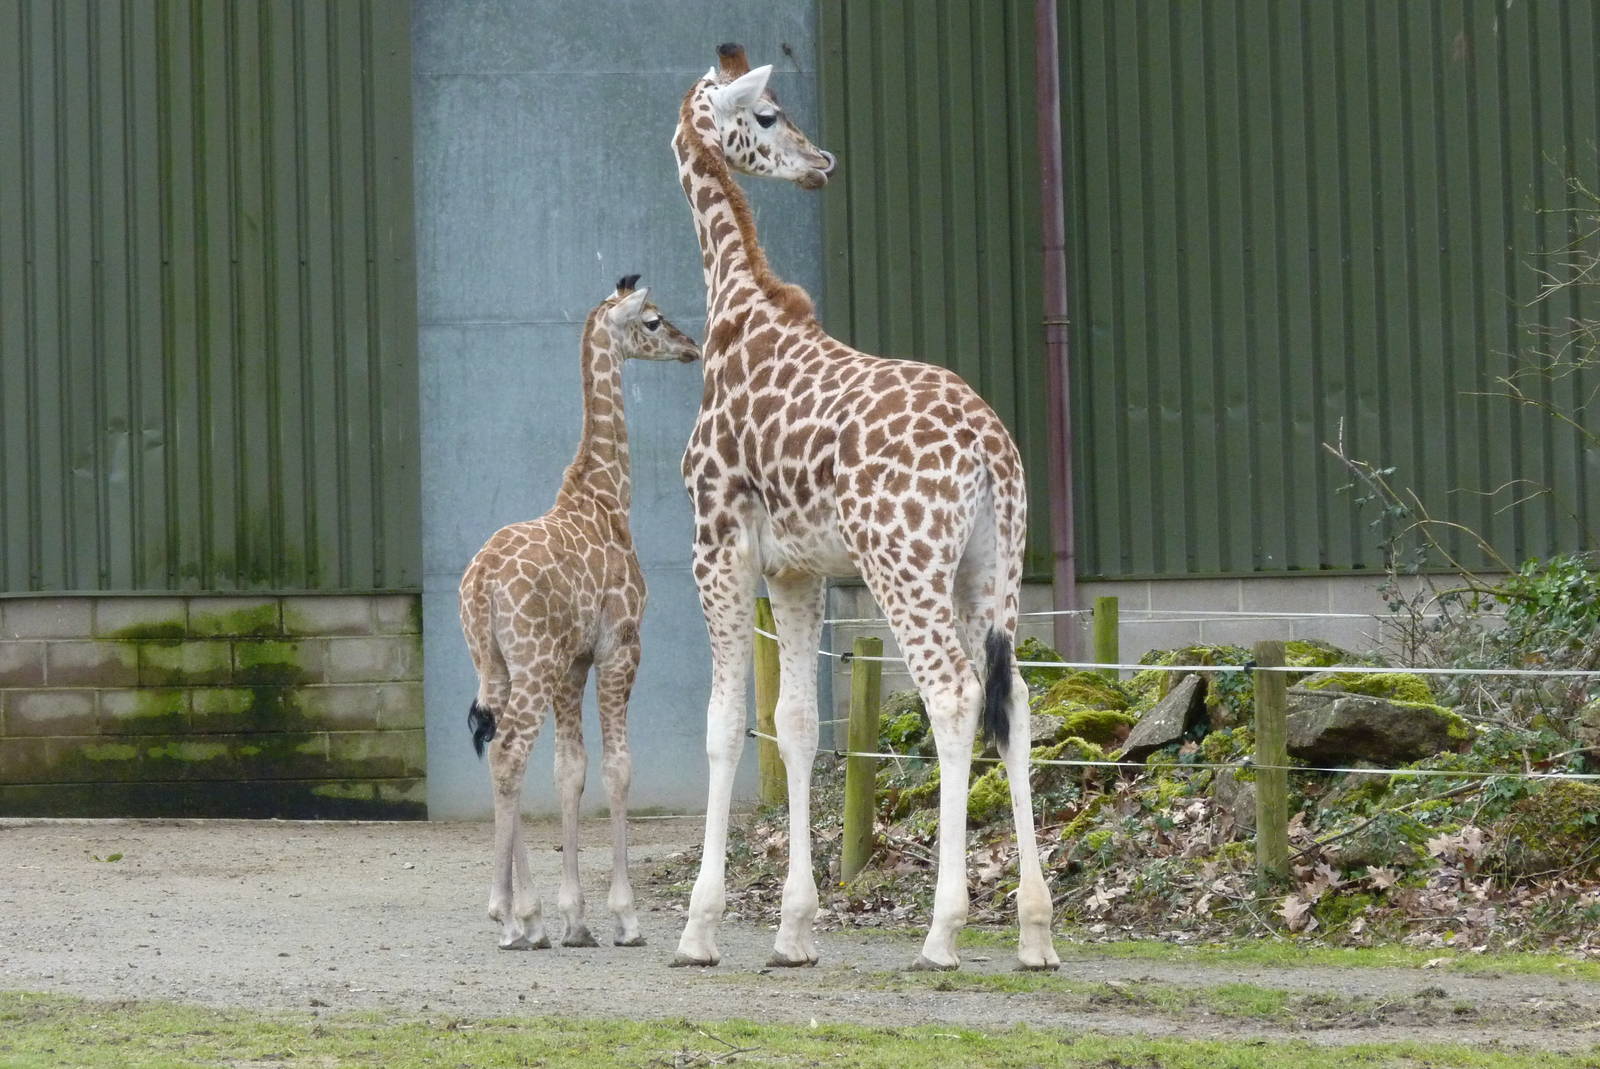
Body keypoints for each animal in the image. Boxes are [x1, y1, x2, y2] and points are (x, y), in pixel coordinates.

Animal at [458, 276, 700, 951]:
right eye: (652, 320)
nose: (691, 347)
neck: (606, 497)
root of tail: (479, 584)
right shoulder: (621, 647)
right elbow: (618, 767)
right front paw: (624, 917)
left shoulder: (574, 663)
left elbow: (571, 770)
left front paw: (574, 917)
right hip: (531, 663)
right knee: (509, 751)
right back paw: (511, 915)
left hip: (498, 665)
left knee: (498, 750)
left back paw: (525, 916)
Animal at [669, 44, 1061, 973]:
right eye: (769, 114)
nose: (823, 162)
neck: (735, 312)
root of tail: (990, 450)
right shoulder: (796, 568)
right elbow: (797, 724)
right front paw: (793, 931)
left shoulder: (716, 544)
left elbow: (724, 721)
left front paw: (700, 927)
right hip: (993, 569)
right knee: (1016, 700)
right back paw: (1034, 932)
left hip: (904, 566)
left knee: (952, 695)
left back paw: (943, 930)